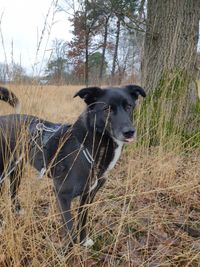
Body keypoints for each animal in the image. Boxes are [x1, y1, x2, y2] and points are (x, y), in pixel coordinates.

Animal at [0, 85, 145, 247]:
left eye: (129, 106)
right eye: (107, 109)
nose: (129, 132)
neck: (87, 147)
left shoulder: (88, 195)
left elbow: (82, 219)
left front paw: (83, 241)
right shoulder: (62, 194)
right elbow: (69, 230)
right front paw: (66, 251)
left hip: (16, 169)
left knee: (13, 191)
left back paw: (17, 211)